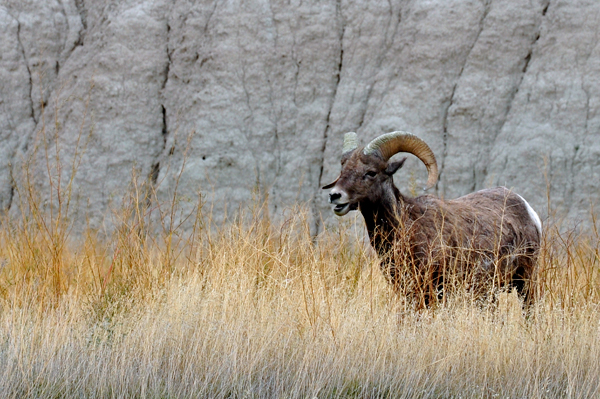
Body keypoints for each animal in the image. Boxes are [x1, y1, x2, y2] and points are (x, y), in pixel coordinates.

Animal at [326, 131, 540, 306]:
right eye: (343, 170)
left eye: (371, 172)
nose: (335, 195)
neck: (407, 227)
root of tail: (527, 209)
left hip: (525, 283)